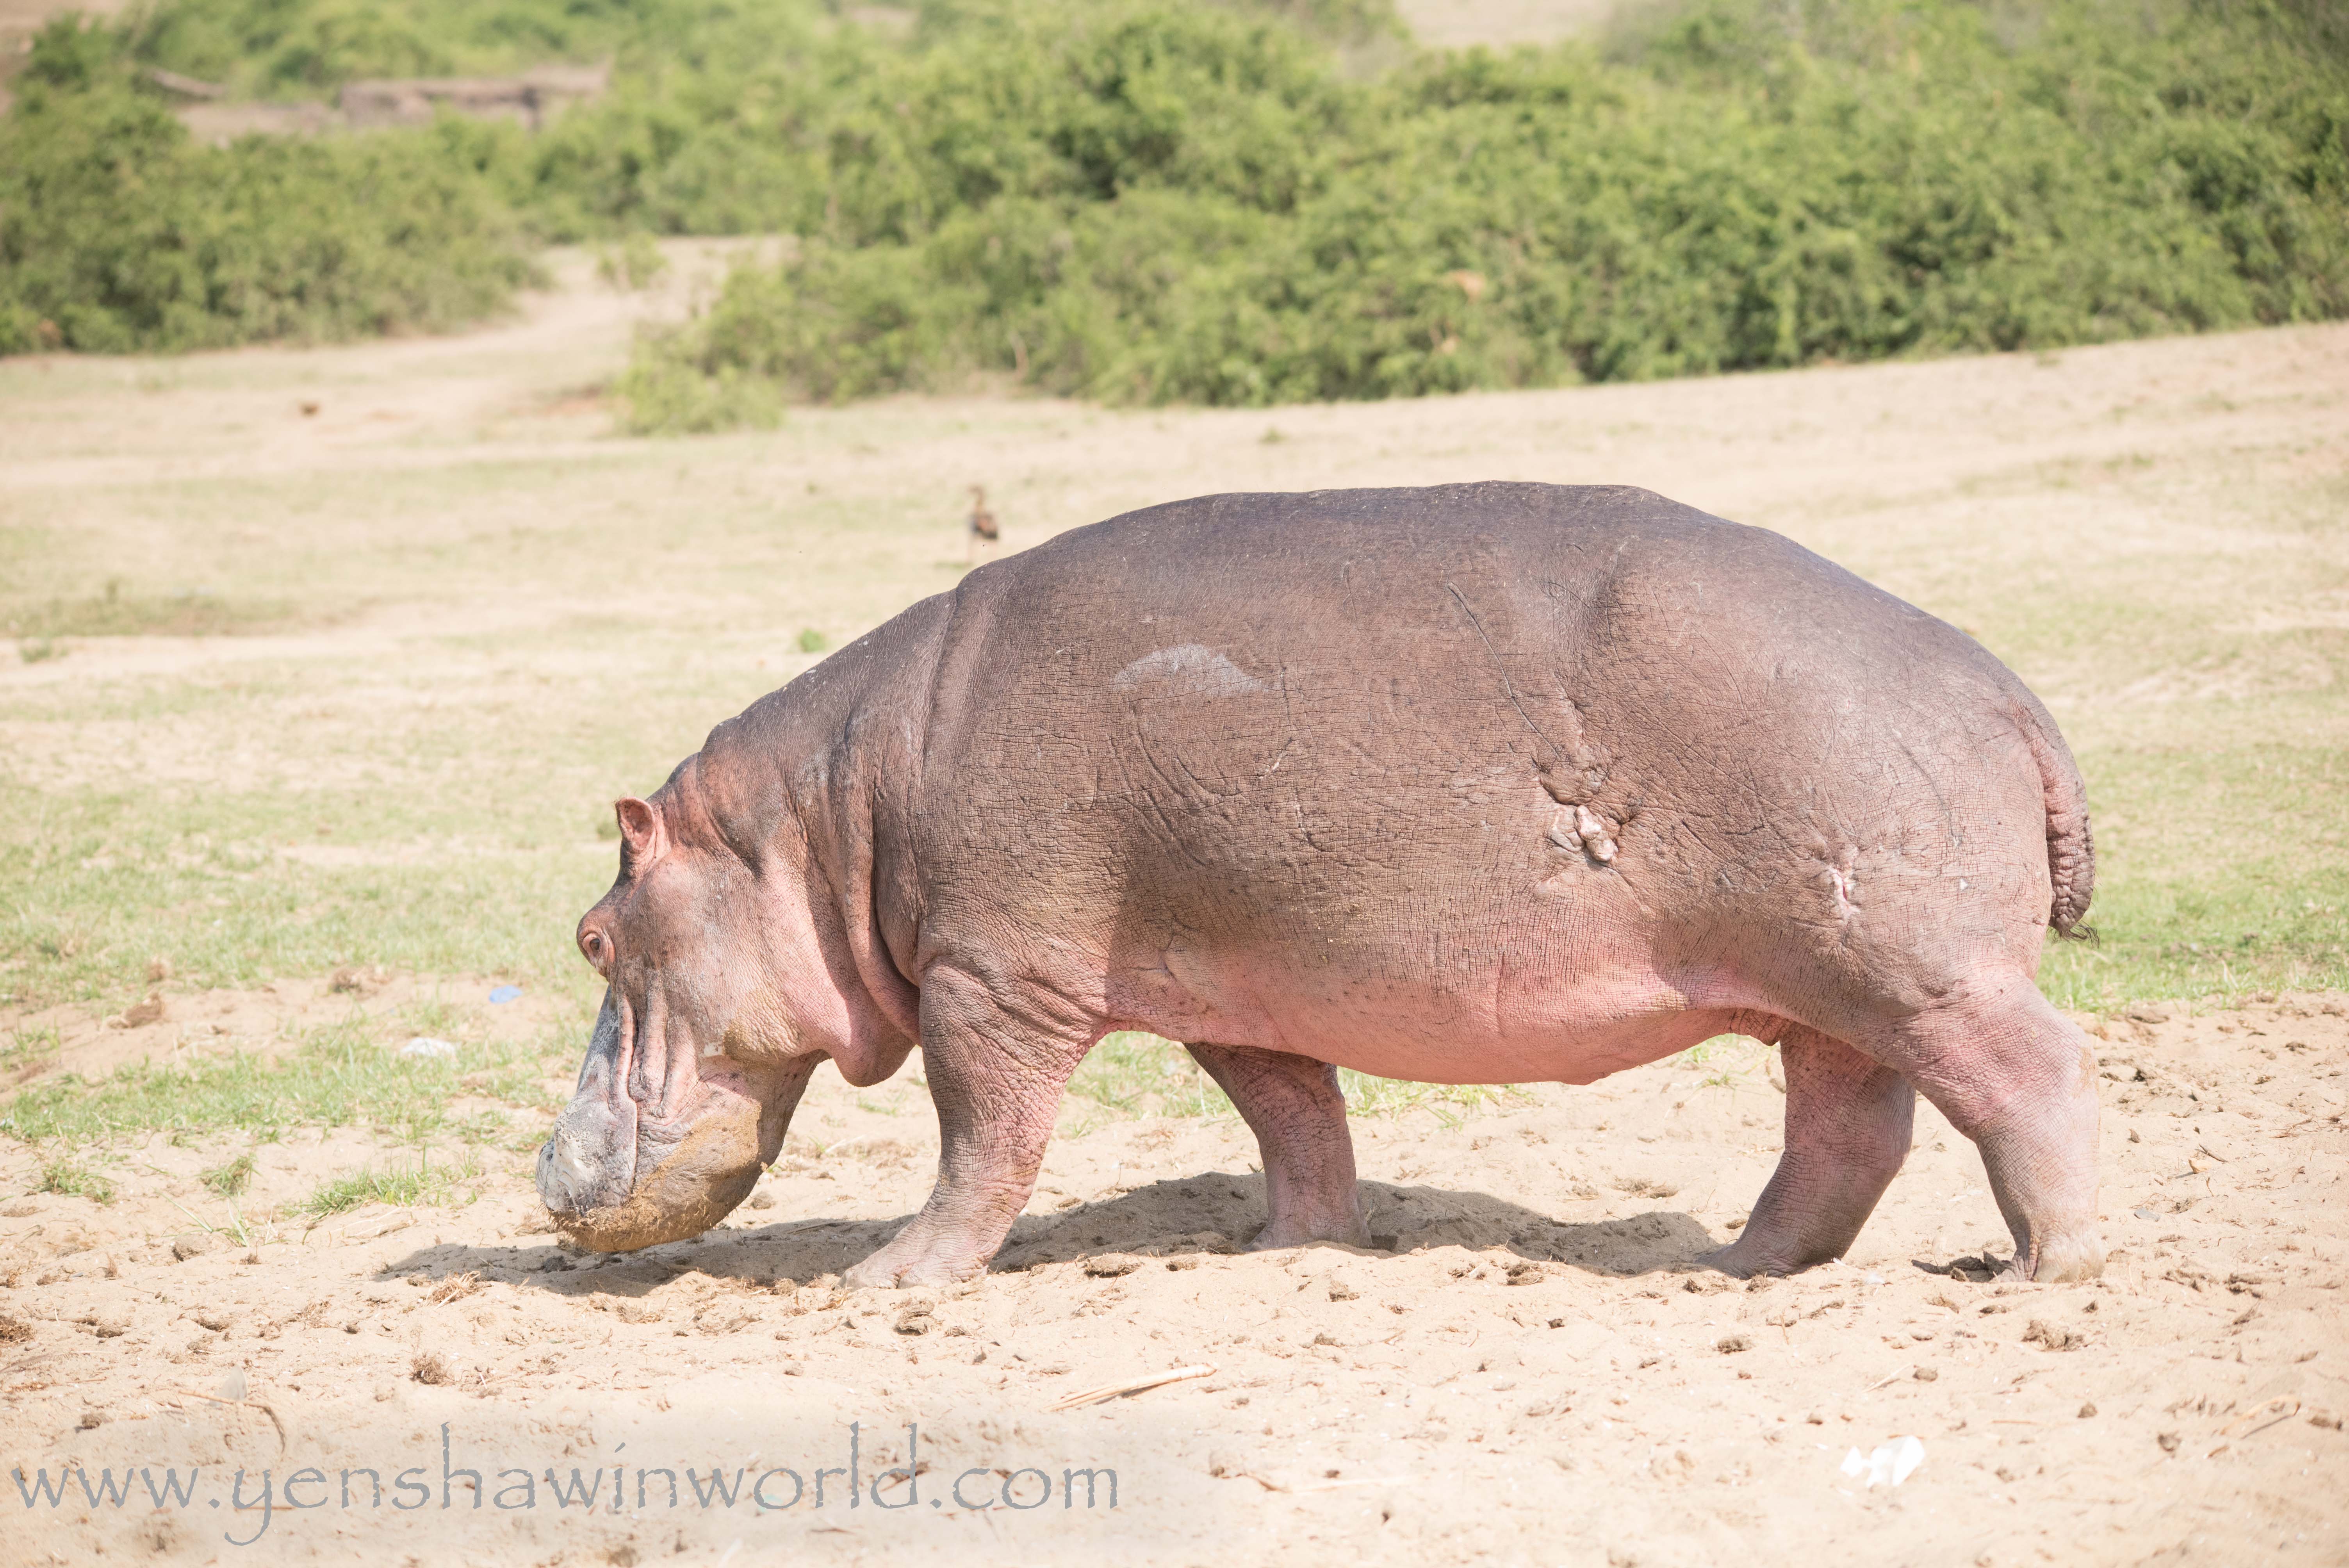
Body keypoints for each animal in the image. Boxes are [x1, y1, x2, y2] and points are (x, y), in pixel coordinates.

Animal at [537, 483, 2102, 1287]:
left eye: (592, 936)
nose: (544, 1177)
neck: (819, 818)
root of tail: (2003, 685)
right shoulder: (1226, 982)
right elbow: (1292, 1118)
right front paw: (1284, 1248)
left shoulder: (989, 980)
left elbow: (981, 1138)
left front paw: (884, 1281)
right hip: (1832, 988)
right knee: (1847, 1129)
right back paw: (1736, 1268)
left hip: (1913, 966)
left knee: (2031, 1076)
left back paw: (2047, 1273)